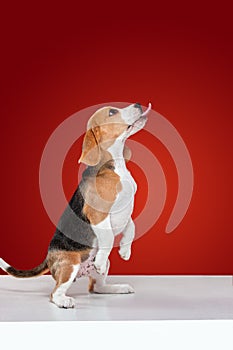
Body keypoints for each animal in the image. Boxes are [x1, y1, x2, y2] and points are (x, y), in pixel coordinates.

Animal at [0, 102, 152, 308]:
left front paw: (125, 251)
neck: (115, 166)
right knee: (55, 293)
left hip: (94, 273)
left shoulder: (124, 212)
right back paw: (64, 300)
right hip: (70, 264)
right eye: (112, 112)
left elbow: (132, 227)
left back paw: (117, 287)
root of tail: (49, 258)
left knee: (96, 287)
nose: (137, 104)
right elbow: (108, 238)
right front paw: (104, 258)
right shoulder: (98, 214)